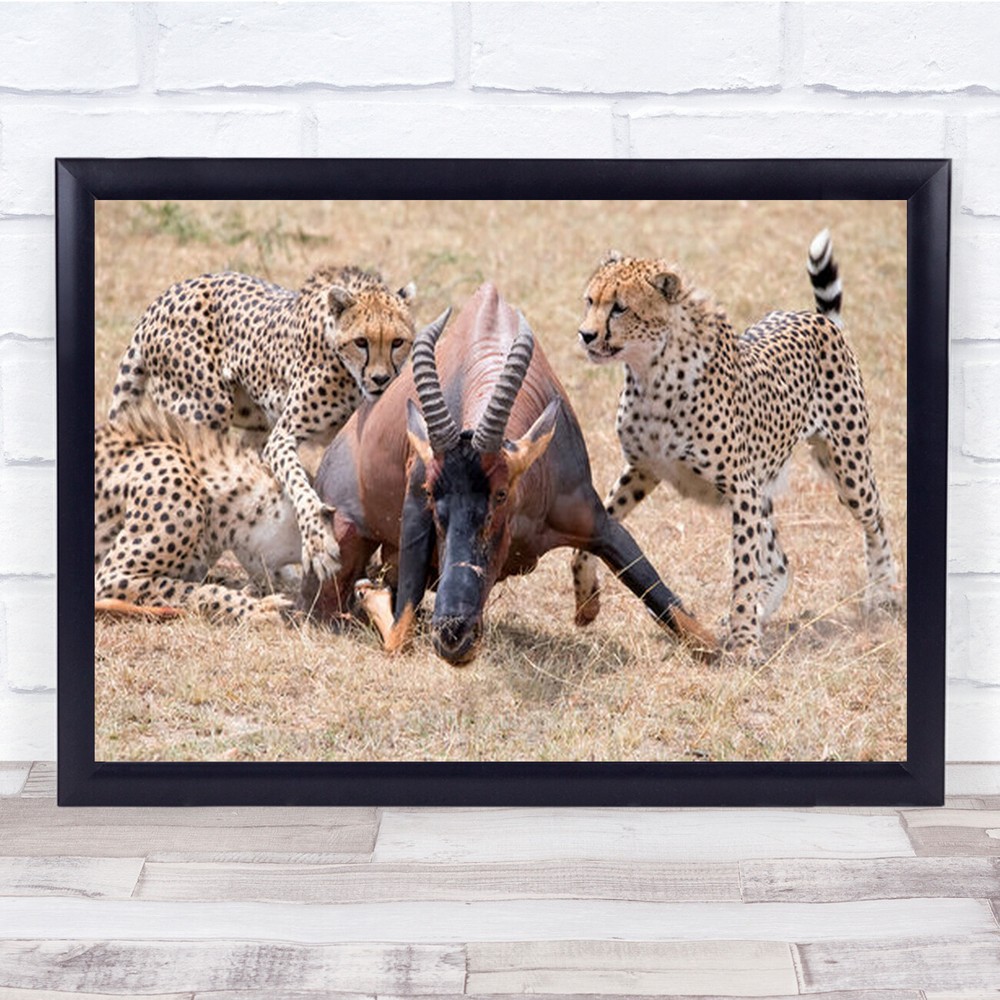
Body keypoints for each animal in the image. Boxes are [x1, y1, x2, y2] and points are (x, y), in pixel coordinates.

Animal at [107, 264, 417, 586]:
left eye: (397, 342)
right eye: (361, 342)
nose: (381, 379)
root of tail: (165, 296)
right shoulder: (281, 438)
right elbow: (300, 487)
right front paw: (318, 544)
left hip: (252, 424)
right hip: (205, 407)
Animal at [570, 229, 901, 656]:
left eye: (620, 308)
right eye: (590, 301)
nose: (586, 335)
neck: (652, 373)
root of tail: (817, 317)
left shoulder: (740, 490)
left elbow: (743, 571)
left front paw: (744, 644)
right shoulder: (643, 470)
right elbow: (585, 544)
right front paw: (586, 603)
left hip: (846, 466)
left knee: (875, 518)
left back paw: (883, 591)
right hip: (767, 486)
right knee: (780, 560)